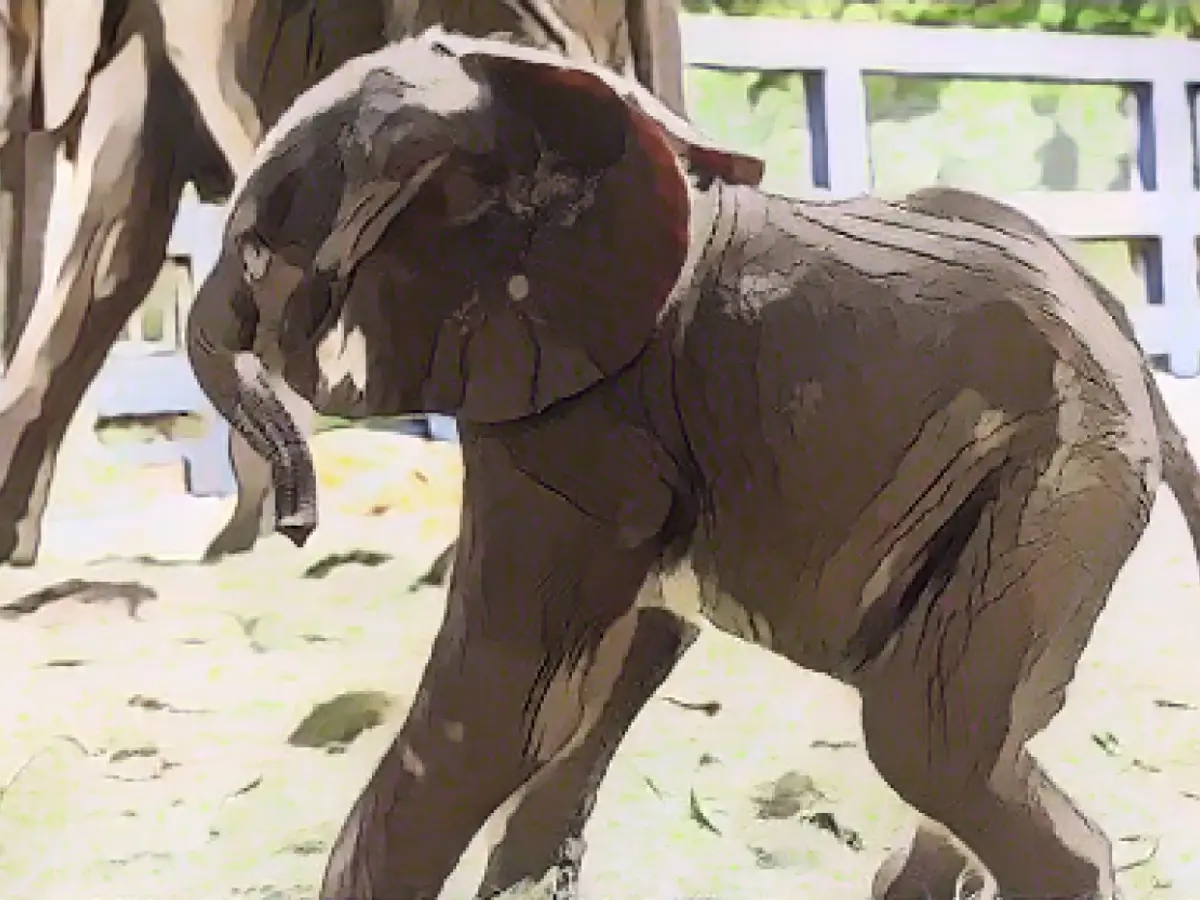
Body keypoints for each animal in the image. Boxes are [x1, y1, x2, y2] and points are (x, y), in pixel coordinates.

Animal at [184, 31, 1200, 900]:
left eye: (263, 241)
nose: (296, 526)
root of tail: (1130, 349)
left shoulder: (586, 412)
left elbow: (517, 696)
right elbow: (618, 659)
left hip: (1057, 475)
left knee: (926, 737)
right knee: (974, 733)